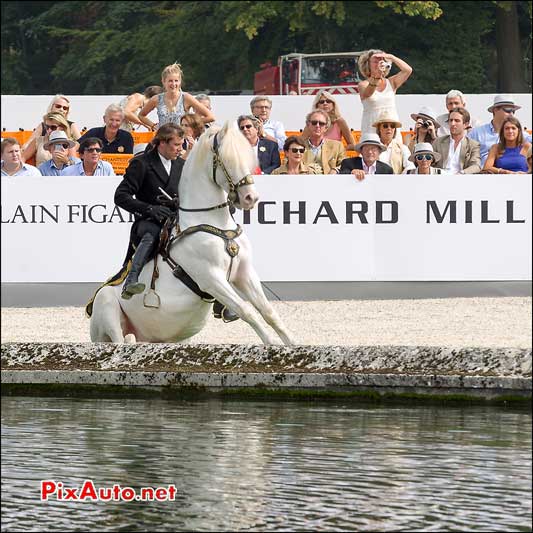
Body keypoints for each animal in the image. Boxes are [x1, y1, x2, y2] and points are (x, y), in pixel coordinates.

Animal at [89, 120, 294, 344]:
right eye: (228, 160)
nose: (251, 198)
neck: (216, 226)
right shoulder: (210, 279)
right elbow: (247, 311)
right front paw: (272, 344)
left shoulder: (244, 273)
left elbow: (268, 312)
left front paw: (291, 344)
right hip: (106, 307)